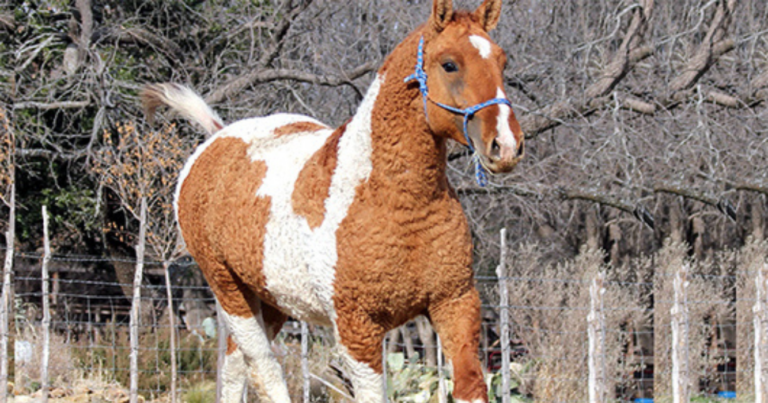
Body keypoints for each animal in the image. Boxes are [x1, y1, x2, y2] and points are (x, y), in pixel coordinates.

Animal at [142, 0, 528, 400]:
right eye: (449, 63)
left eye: (502, 61)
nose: (506, 145)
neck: (398, 205)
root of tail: (217, 137)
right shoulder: (357, 328)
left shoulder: (455, 304)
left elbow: (470, 384)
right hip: (229, 290)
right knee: (265, 369)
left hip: (272, 299)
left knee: (235, 369)